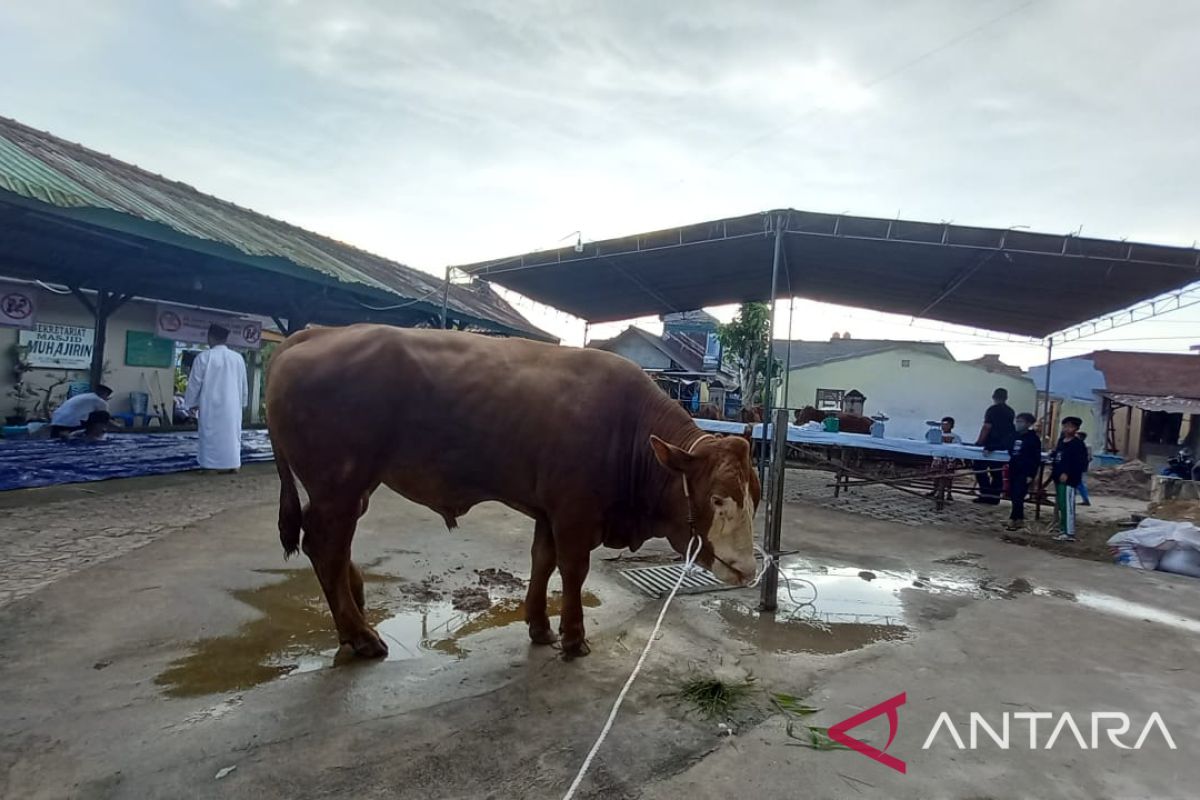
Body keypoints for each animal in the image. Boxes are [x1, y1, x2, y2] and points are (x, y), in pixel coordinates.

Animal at [270, 326, 758, 657]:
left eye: (755, 497)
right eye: (717, 499)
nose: (748, 568)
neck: (628, 429)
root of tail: (320, 332)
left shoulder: (549, 510)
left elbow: (542, 562)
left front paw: (539, 625)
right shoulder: (574, 513)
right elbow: (573, 570)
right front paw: (573, 637)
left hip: (350, 490)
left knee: (329, 549)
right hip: (339, 487)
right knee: (326, 548)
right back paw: (360, 634)